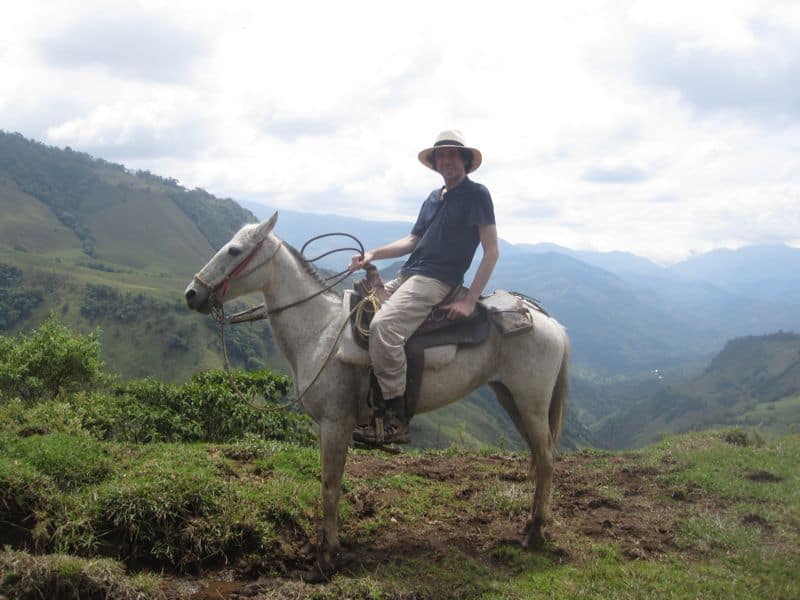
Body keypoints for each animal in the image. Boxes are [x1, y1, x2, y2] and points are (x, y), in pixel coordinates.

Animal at [183, 214, 568, 572]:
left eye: (234, 250)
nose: (192, 293)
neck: (320, 331)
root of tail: (550, 322)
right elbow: (329, 482)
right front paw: (323, 545)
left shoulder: (335, 423)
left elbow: (330, 484)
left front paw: (327, 554)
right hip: (511, 398)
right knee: (539, 456)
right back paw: (531, 525)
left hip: (531, 403)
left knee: (547, 459)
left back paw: (536, 531)